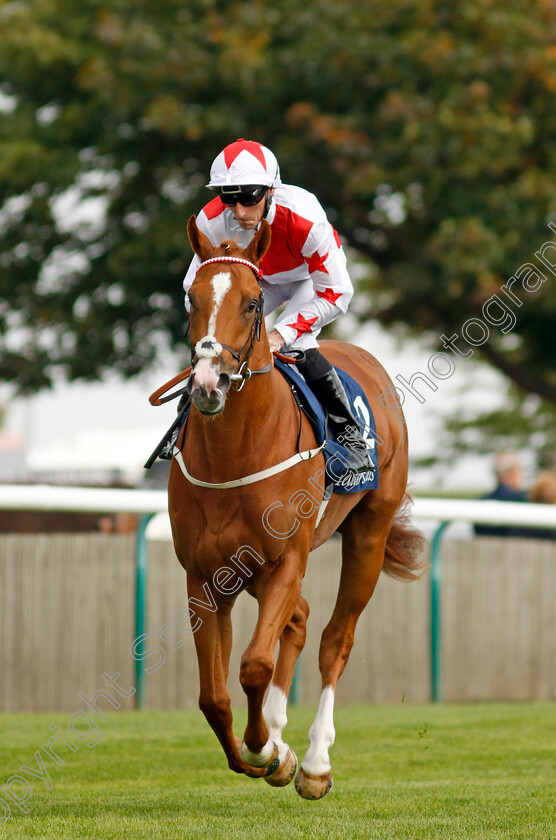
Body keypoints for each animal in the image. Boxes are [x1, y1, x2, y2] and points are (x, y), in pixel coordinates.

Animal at [167, 213, 424, 796]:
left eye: (252, 303)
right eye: (192, 298)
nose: (208, 385)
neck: (234, 456)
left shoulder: (285, 559)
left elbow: (255, 665)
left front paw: (268, 750)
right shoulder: (206, 575)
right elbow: (212, 697)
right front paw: (262, 747)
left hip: (367, 535)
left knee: (335, 638)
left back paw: (313, 762)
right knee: (301, 619)